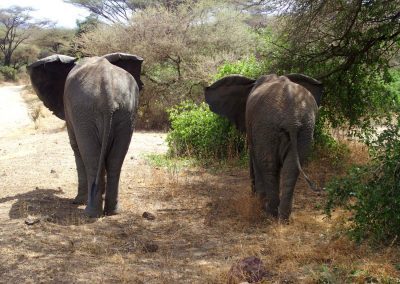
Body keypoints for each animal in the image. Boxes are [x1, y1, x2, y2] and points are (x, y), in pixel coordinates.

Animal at [28, 52, 144, 217]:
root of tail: (108, 95)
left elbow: (75, 147)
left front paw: (78, 202)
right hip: (127, 111)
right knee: (116, 160)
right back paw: (112, 212)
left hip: (85, 112)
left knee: (90, 157)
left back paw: (90, 212)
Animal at [205, 73, 324, 222]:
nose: (251, 193)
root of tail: (292, 121)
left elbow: (256, 159)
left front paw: (257, 201)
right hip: (305, 128)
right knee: (291, 167)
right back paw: (283, 218)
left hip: (266, 126)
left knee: (268, 165)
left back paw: (269, 212)